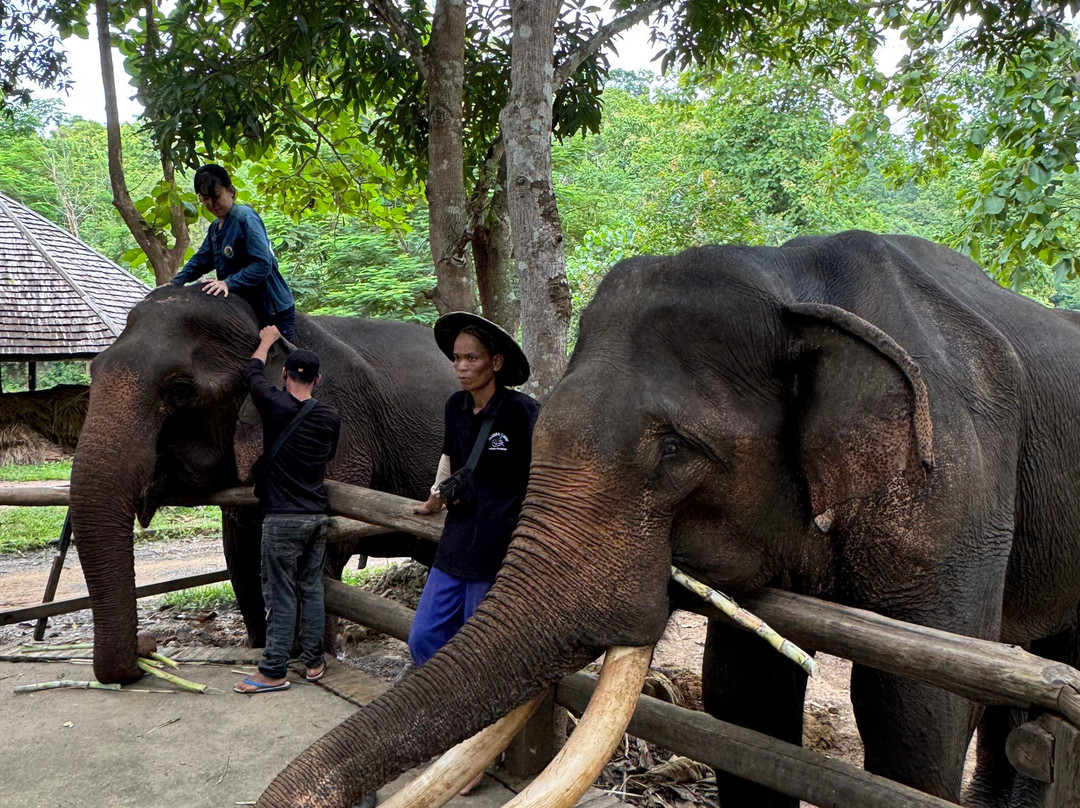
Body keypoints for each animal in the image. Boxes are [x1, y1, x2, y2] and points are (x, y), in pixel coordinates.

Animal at [69, 284, 457, 685]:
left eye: (180, 390)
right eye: (93, 371)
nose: (147, 646)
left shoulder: (342, 428)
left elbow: (326, 549)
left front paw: (310, 658)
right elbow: (242, 558)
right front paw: (264, 648)